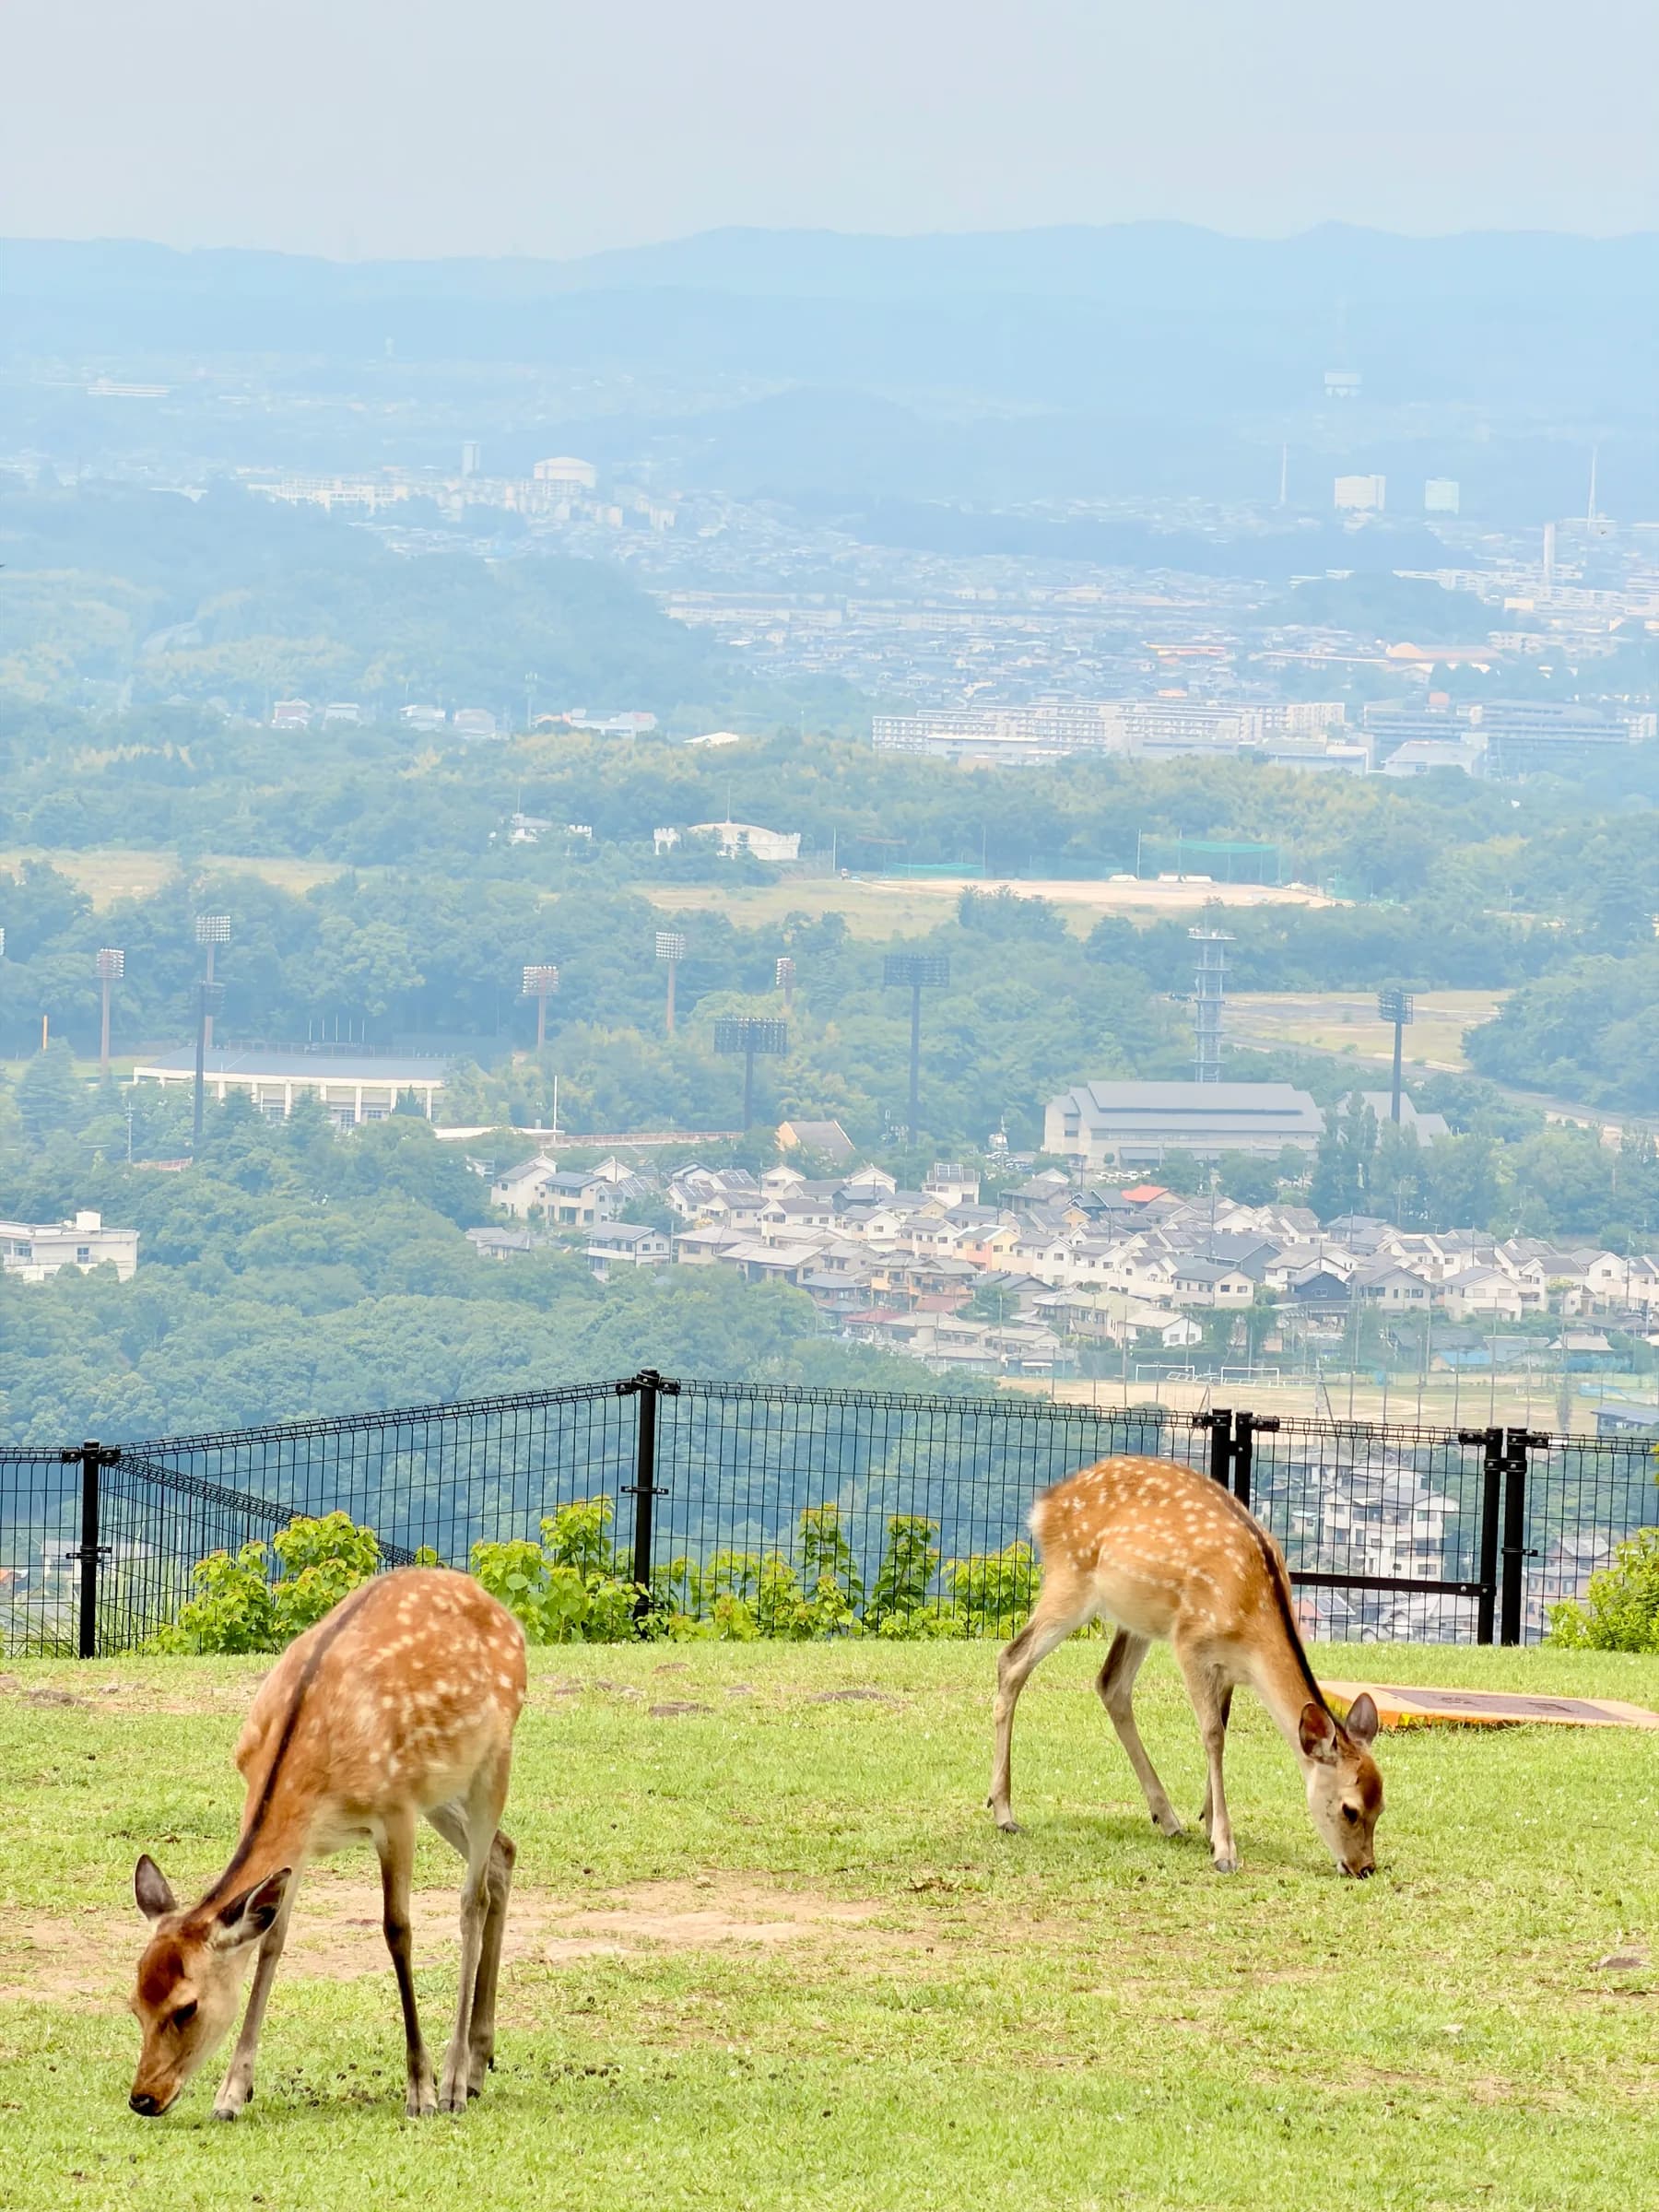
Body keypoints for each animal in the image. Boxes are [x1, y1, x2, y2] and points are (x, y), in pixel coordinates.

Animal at [128, 1566, 526, 2120]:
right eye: (134, 2001)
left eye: (187, 2007)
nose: (144, 2097)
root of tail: (506, 1613)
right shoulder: (302, 1845)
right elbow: (273, 1938)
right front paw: (231, 2093)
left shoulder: (394, 1811)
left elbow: (397, 1930)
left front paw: (419, 2090)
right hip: (441, 1790)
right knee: (502, 1854)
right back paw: (477, 2067)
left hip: (493, 1758)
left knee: (474, 1898)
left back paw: (452, 2081)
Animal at [989, 1452, 1383, 1876]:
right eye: (1349, 1809)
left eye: (1382, 1805)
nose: (1365, 1867)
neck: (1251, 1625)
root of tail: (1045, 1505)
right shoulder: (1191, 1645)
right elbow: (1213, 1735)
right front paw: (1224, 1849)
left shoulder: (1227, 1669)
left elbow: (1221, 1729)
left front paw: (1209, 1822)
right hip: (1071, 1581)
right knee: (1013, 1660)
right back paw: (1004, 1812)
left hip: (1137, 1617)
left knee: (1110, 1683)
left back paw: (1167, 1818)